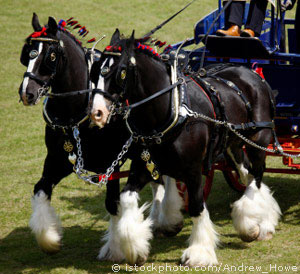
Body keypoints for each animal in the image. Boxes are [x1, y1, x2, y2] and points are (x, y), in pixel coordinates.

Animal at [19, 13, 185, 260]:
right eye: (26, 53)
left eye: (50, 56)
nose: (26, 93)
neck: (76, 112)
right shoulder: (58, 160)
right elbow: (40, 189)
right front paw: (49, 239)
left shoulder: (111, 164)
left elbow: (112, 204)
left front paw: (115, 248)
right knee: (158, 180)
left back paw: (168, 217)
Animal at [90, 29, 282, 266]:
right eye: (95, 71)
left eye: (121, 72)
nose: (97, 112)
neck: (170, 111)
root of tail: (252, 72)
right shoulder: (146, 166)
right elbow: (126, 198)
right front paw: (135, 247)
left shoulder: (193, 170)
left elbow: (197, 206)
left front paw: (199, 252)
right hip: (233, 146)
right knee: (247, 174)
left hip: (258, 141)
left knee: (257, 177)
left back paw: (257, 225)